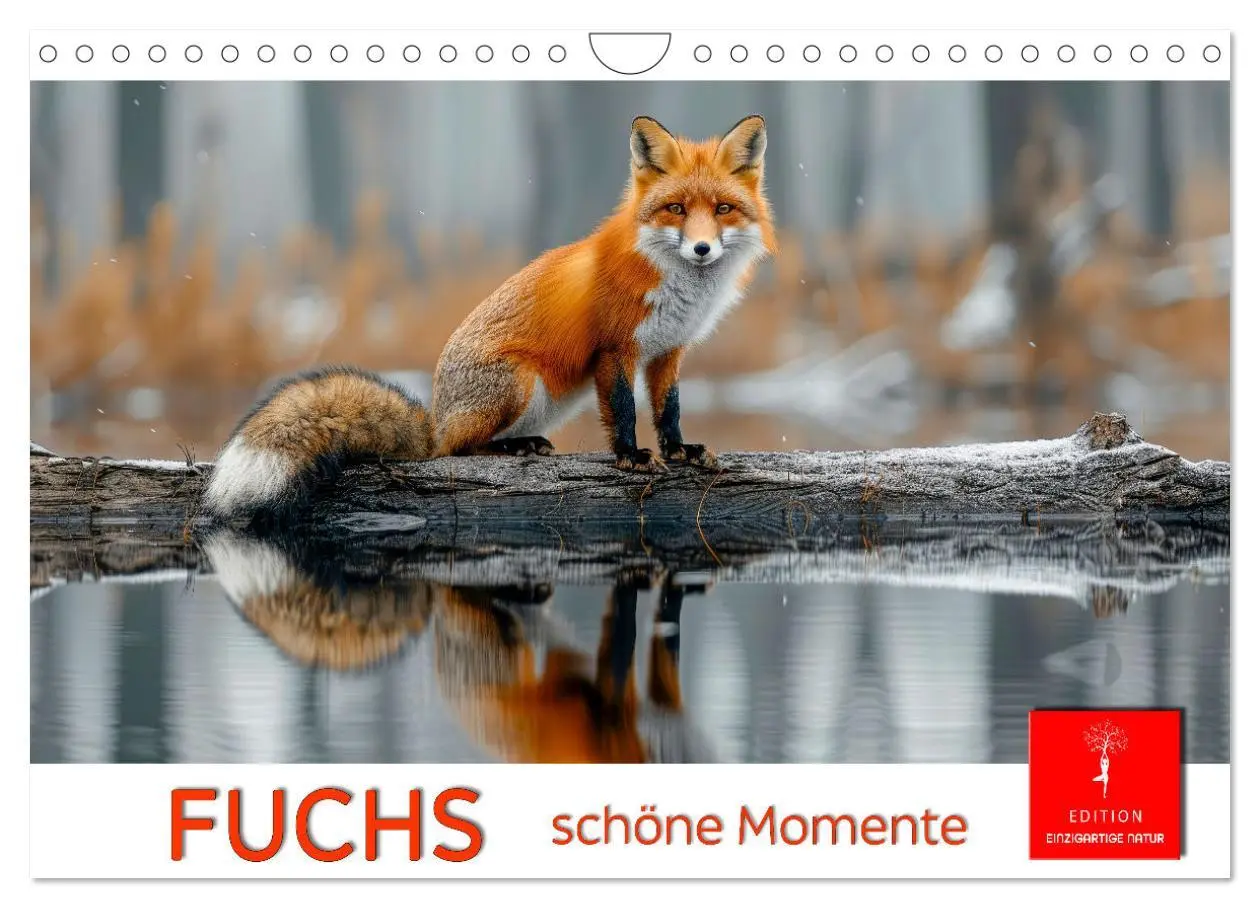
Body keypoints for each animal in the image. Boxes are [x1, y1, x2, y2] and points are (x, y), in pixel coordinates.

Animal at [202, 114, 776, 522]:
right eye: (676, 209)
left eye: (722, 210)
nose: (702, 249)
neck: (678, 288)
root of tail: (434, 419)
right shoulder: (615, 350)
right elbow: (623, 412)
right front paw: (632, 458)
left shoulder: (667, 351)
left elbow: (668, 410)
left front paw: (680, 451)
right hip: (518, 382)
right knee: (457, 453)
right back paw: (508, 447)